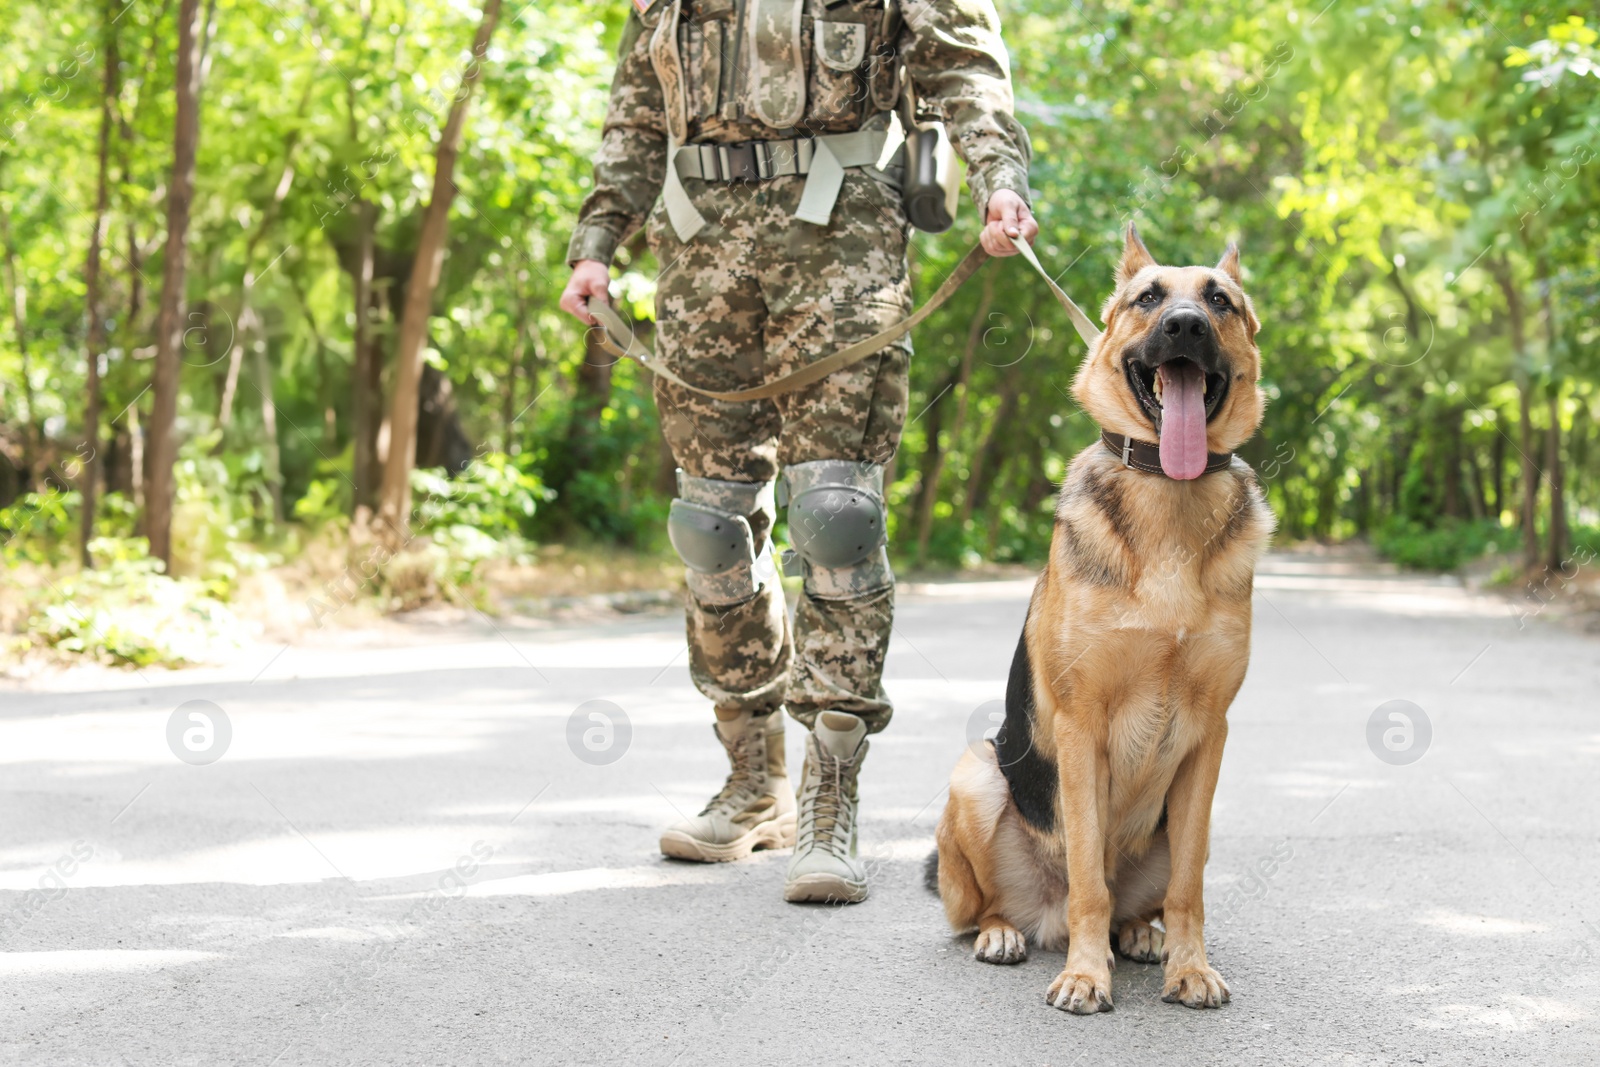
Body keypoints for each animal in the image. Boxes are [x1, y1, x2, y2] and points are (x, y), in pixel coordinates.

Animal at [928, 227, 1273, 1017]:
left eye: (1221, 300)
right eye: (1148, 298)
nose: (1186, 326)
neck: (1171, 497)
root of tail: (1043, 917)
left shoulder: (1211, 735)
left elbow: (1190, 887)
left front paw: (1189, 966)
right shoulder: (1082, 727)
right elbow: (1088, 871)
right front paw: (1086, 975)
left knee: (1139, 901)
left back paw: (1142, 934)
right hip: (976, 776)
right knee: (998, 905)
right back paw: (1006, 933)